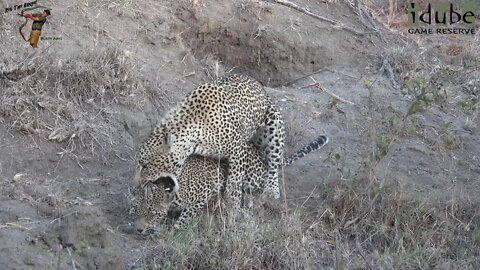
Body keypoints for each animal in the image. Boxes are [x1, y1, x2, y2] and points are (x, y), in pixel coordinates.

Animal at [129, 135, 328, 232]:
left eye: (152, 214)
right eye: (137, 211)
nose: (138, 230)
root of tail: (261, 158)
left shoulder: (202, 194)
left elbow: (187, 215)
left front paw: (176, 228)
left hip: (250, 177)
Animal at [134, 74, 284, 209]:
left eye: (146, 166)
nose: (136, 184)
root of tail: (259, 85)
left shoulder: (238, 151)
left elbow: (234, 184)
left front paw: (232, 208)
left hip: (274, 124)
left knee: (273, 165)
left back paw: (272, 190)